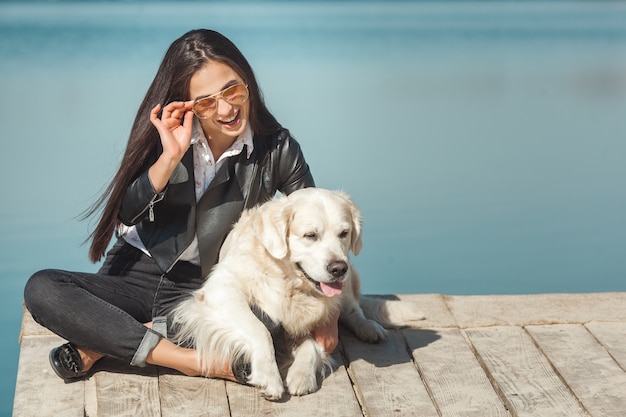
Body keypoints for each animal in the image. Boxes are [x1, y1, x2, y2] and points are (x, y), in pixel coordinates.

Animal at [173, 187, 422, 398]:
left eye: (344, 233)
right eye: (310, 235)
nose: (338, 268)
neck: (289, 283)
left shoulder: (315, 319)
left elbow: (312, 345)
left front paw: (302, 376)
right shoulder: (221, 289)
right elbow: (260, 329)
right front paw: (269, 377)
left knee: (353, 310)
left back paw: (369, 328)